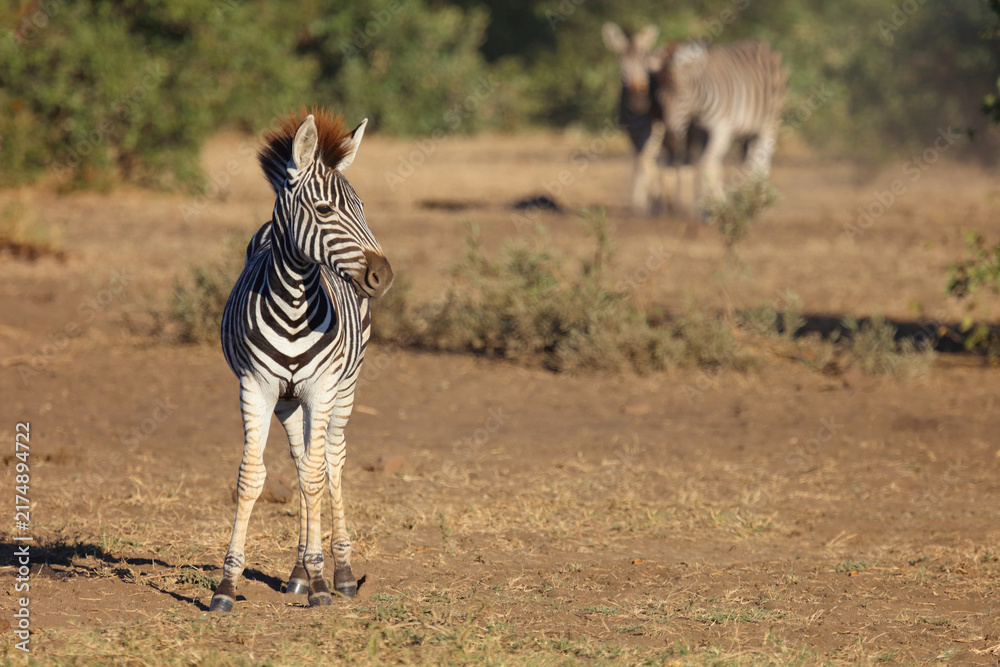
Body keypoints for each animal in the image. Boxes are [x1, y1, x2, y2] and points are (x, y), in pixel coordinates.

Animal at [209, 109, 393, 613]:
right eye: (326, 211)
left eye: (363, 208)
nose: (384, 275)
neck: (294, 305)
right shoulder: (255, 386)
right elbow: (251, 478)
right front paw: (227, 585)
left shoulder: (322, 387)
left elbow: (316, 477)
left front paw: (323, 582)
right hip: (289, 401)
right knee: (300, 459)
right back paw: (297, 573)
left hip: (343, 389)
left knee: (330, 459)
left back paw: (339, 572)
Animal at [602, 22, 710, 216]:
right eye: (622, 63)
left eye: (644, 63)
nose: (639, 101)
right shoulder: (634, 133)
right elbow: (641, 162)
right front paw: (641, 204)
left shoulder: (657, 131)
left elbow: (647, 160)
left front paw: (654, 201)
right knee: (668, 160)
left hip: (684, 130)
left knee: (685, 160)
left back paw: (686, 204)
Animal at [657, 39, 788, 205]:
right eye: (659, 98)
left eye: (682, 98)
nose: (669, 141)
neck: (699, 106)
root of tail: (762, 45)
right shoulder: (700, 132)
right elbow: (710, 164)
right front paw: (711, 206)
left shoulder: (722, 128)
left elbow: (707, 163)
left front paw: (719, 204)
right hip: (749, 131)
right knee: (749, 161)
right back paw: (748, 197)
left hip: (769, 124)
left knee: (762, 161)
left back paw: (758, 200)